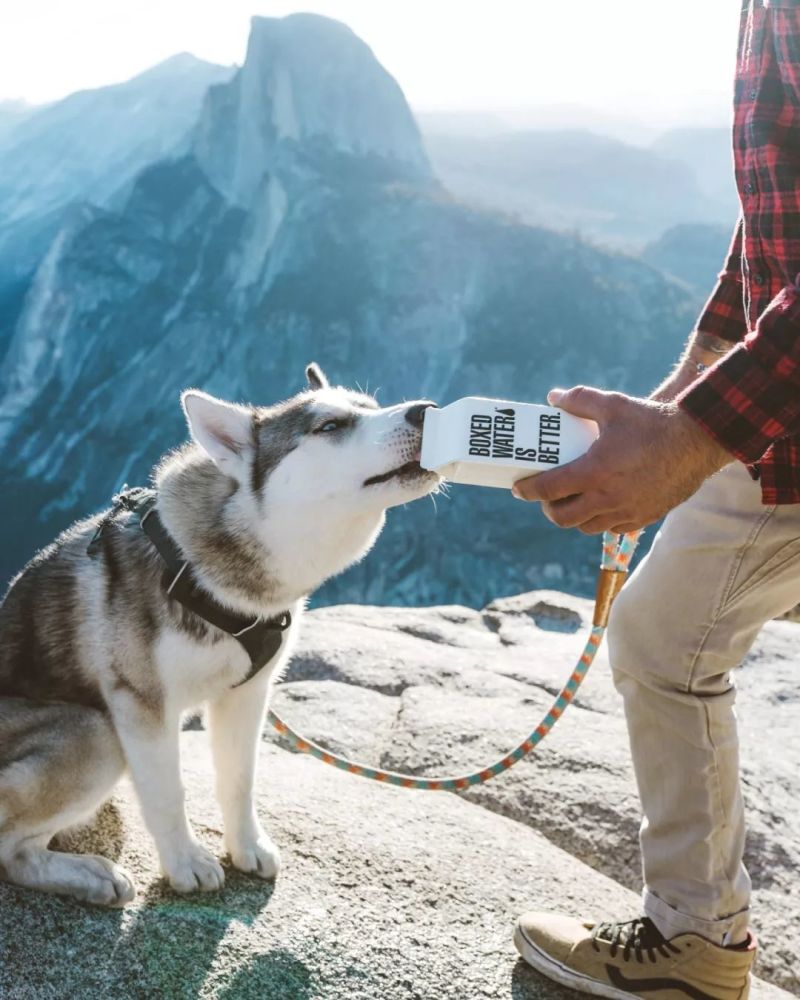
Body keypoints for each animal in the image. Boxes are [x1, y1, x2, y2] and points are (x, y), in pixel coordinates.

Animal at [0, 366, 438, 908]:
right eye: (330, 426)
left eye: (370, 407)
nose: (426, 410)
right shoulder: (141, 705)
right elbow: (168, 793)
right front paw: (184, 862)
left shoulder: (247, 693)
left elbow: (239, 778)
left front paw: (246, 846)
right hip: (97, 733)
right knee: (11, 851)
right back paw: (88, 875)